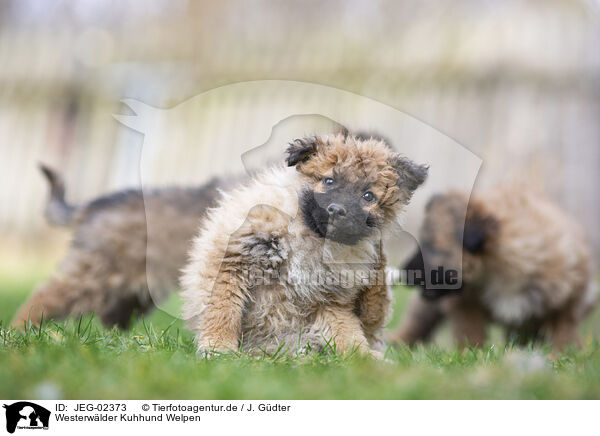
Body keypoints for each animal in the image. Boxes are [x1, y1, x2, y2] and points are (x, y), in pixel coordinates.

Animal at [11, 165, 227, 328]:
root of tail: (93, 205)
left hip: (131, 291)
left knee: (111, 318)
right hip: (96, 274)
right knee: (47, 295)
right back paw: (20, 330)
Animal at [180, 134, 428, 358]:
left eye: (368, 196)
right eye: (329, 181)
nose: (336, 210)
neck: (310, 236)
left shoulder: (330, 300)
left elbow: (347, 334)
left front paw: (361, 359)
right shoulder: (234, 261)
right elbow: (224, 310)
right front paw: (217, 347)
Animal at [390, 187, 596, 350]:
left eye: (432, 245)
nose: (404, 272)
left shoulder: (566, 301)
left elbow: (563, 333)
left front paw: (560, 355)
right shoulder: (465, 304)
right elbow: (469, 331)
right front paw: (469, 354)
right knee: (417, 321)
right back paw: (397, 342)